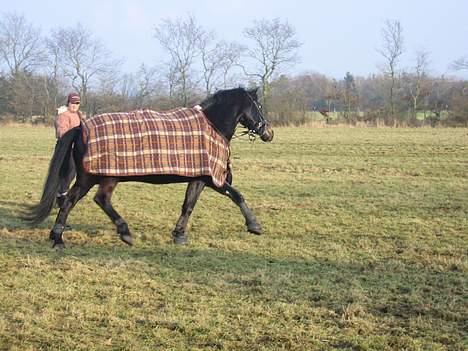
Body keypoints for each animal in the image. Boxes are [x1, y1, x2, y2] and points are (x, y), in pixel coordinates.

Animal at [23, 86, 274, 249]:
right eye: (259, 105)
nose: (269, 133)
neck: (213, 125)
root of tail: (81, 127)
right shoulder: (211, 178)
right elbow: (237, 195)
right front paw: (254, 225)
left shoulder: (199, 178)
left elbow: (188, 205)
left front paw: (179, 235)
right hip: (105, 177)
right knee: (99, 199)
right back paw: (123, 232)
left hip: (88, 178)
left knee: (69, 201)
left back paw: (57, 238)